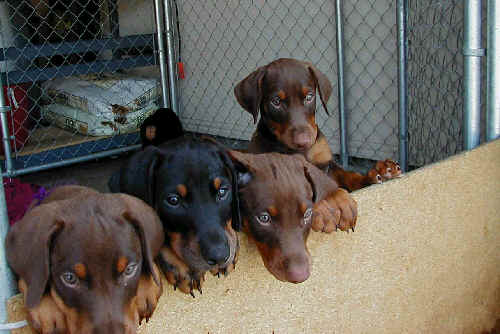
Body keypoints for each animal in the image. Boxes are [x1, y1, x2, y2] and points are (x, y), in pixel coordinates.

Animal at [234, 58, 386, 192]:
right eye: (276, 102)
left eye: (309, 97)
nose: (304, 142)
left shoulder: (326, 162)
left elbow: (346, 174)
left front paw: (366, 180)